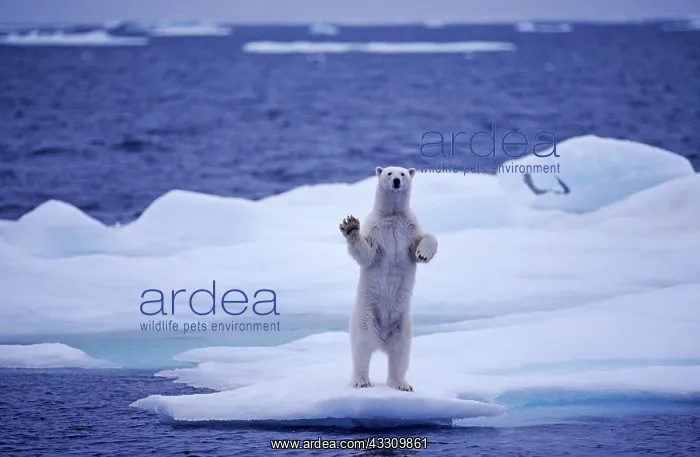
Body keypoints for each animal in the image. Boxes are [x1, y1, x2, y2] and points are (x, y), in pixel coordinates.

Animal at [339, 165, 438, 392]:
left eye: (403, 174)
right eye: (389, 173)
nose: (396, 182)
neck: (392, 215)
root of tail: (382, 338)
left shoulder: (409, 229)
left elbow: (425, 240)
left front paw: (423, 253)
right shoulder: (376, 229)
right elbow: (366, 253)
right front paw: (350, 226)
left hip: (403, 325)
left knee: (400, 353)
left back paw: (401, 383)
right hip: (365, 316)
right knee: (362, 348)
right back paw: (361, 380)